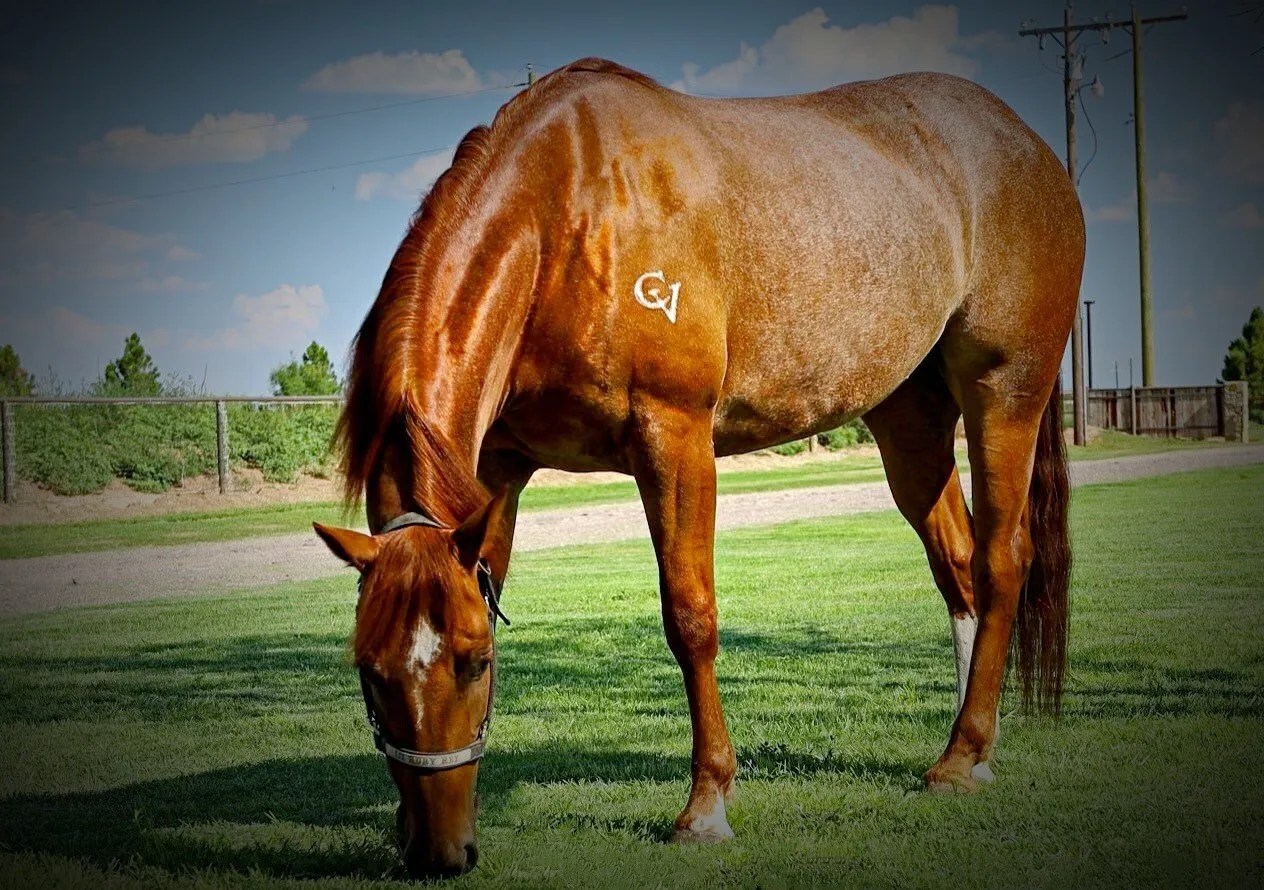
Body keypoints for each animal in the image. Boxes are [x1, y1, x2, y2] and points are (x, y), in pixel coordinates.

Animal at [313, 57, 1081, 879]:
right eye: (368, 671)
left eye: (473, 662)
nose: (436, 853)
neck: (569, 214)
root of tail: (1029, 147)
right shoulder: (500, 468)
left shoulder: (674, 437)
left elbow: (691, 618)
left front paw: (706, 805)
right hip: (908, 418)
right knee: (959, 565)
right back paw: (970, 752)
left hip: (1005, 392)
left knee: (1002, 561)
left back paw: (964, 755)